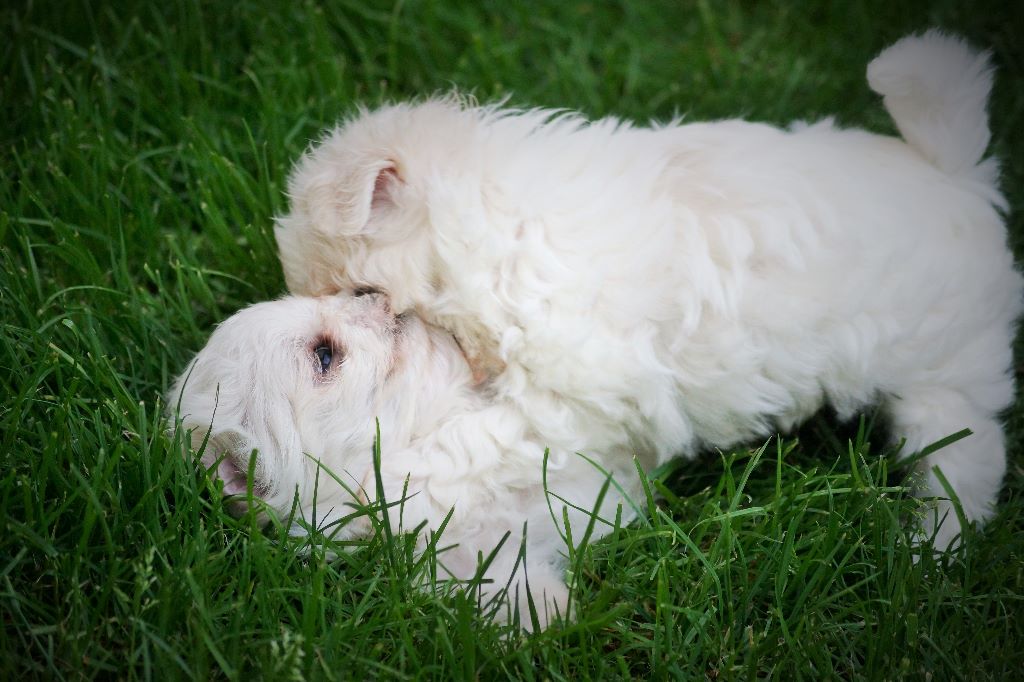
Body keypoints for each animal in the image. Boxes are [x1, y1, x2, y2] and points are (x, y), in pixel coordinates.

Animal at [172, 30, 1019, 626]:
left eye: (357, 291)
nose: (376, 313)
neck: (496, 229)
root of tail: (953, 174)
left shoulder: (572, 364)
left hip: (942, 376)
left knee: (965, 460)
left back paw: (930, 549)